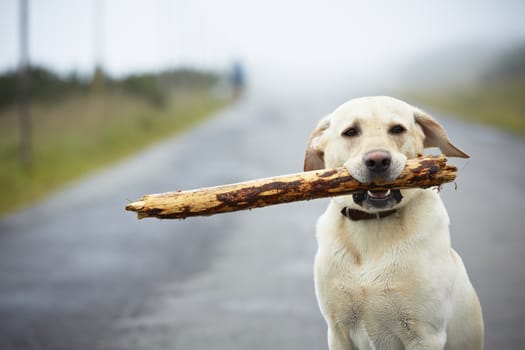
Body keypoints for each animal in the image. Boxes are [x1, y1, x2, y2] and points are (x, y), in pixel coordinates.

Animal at [302, 96, 484, 350]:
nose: (378, 160)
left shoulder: (424, 336)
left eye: (397, 129)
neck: (373, 225)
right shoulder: (338, 330)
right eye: (350, 132)